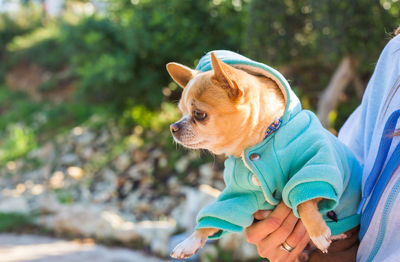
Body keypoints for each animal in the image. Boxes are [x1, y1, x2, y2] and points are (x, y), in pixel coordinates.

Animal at [166, 50, 362, 258]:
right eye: (181, 112)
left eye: (199, 114)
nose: (173, 127)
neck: (263, 138)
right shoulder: (241, 195)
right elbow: (216, 218)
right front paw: (189, 242)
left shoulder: (313, 165)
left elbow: (303, 198)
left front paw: (317, 233)